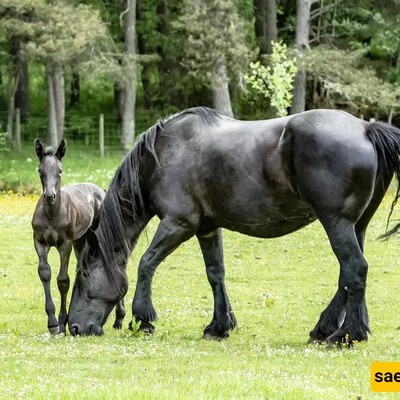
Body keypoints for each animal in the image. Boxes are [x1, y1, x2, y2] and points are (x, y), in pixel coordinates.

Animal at [32, 139, 126, 332]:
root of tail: (101, 190)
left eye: (60, 170)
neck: (51, 214)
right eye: (40, 170)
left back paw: (119, 319)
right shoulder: (39, 242)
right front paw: (52, 322)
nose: (50, 196)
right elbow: (45, 273)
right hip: (81, 241)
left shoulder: (64, 244)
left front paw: (61, 322)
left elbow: (63, 280)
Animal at [67, 108, 400, 346]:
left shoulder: (178, 224)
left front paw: (143, 318)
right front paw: (218, 326)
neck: (162, 156)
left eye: (84, 275)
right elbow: (216, 274)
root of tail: (366, 128)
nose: (74, 327)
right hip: (355, 226)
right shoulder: (207, 229)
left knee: (354, 269)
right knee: (348, 275)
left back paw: (345, 335)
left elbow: (146, 264)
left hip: (336, 222)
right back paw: (329, 329)